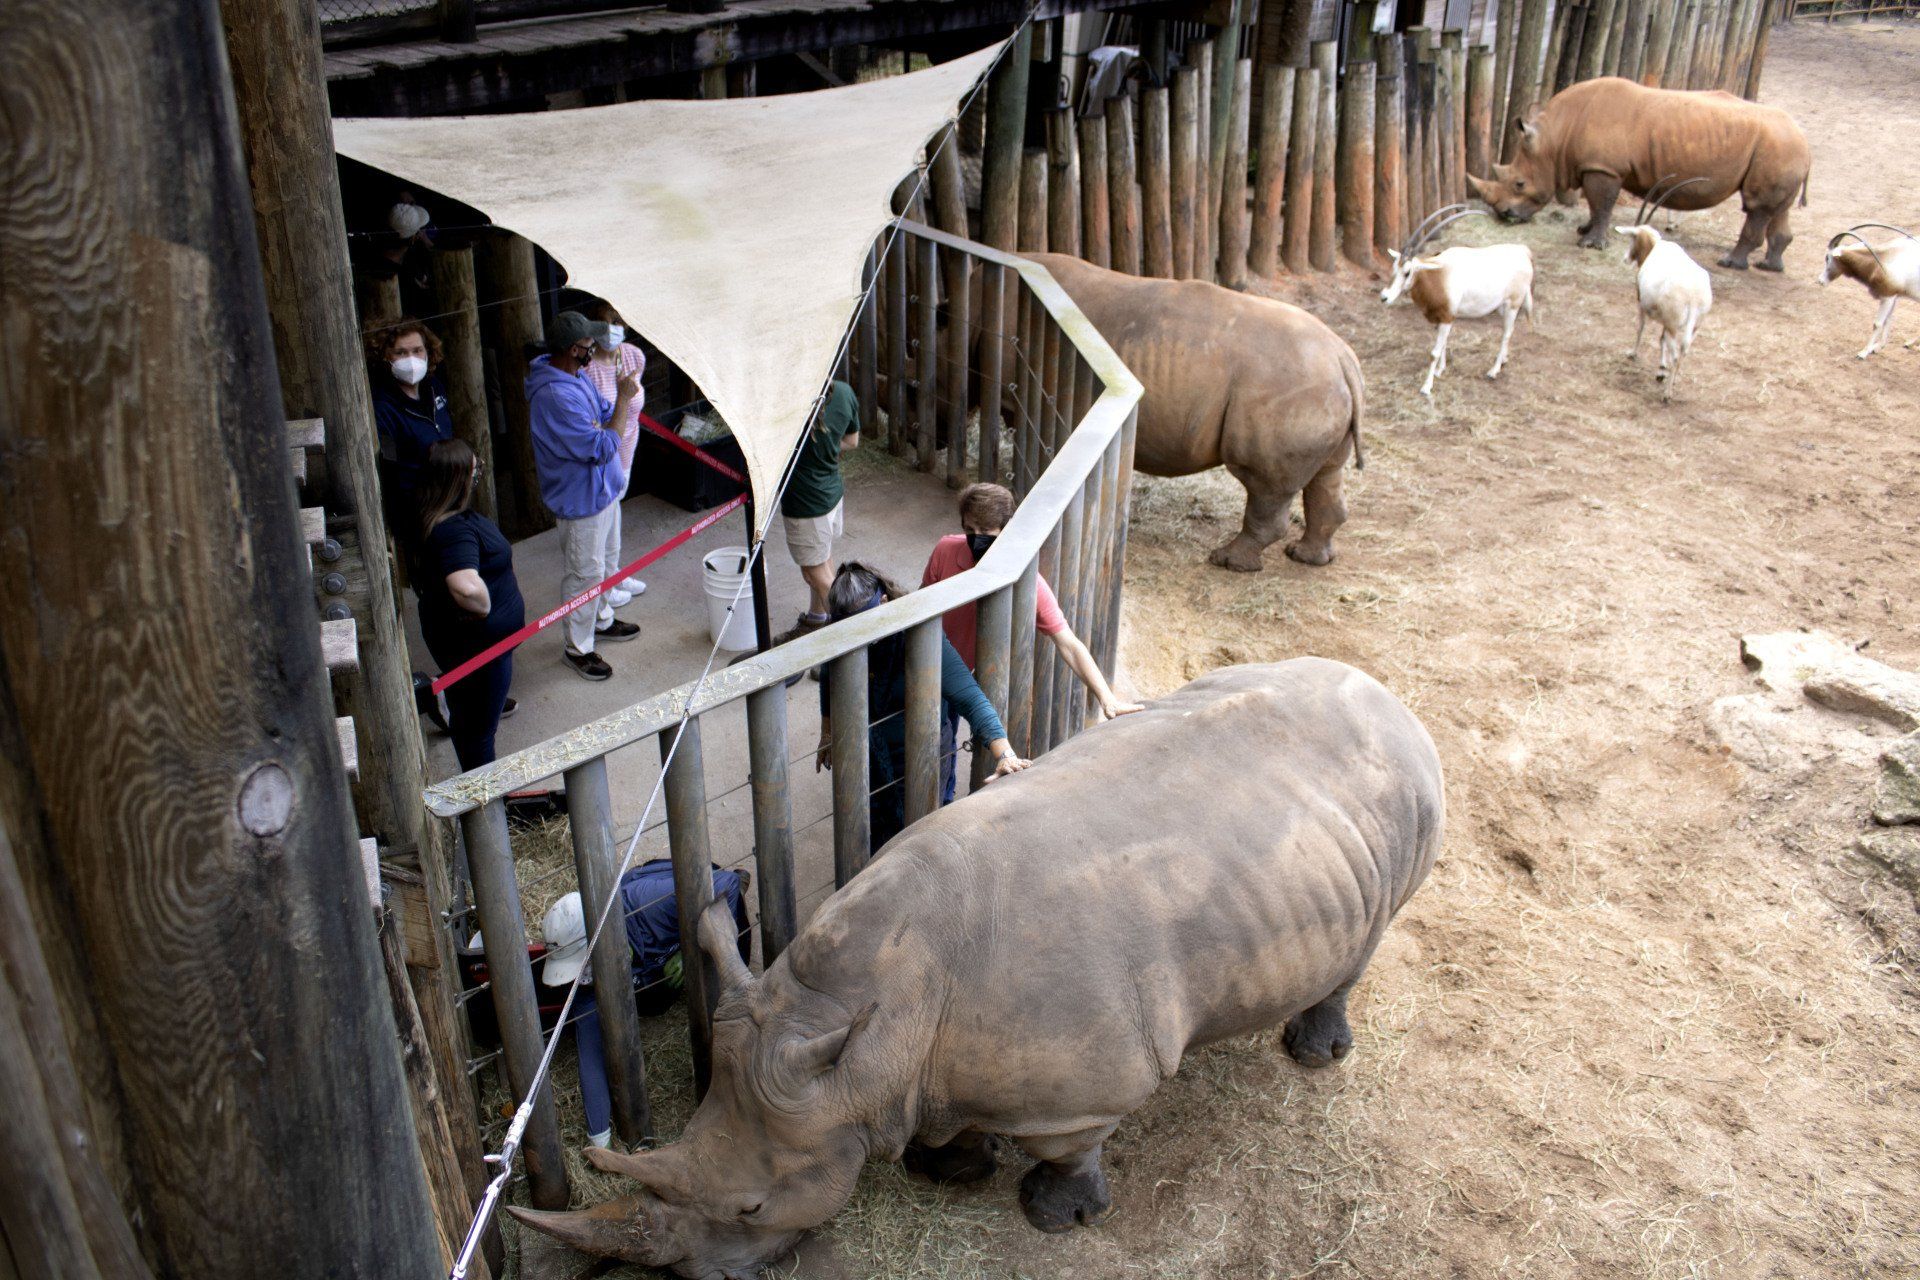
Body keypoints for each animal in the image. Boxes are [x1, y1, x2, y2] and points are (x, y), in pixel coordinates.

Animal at [510, 658, 1444, 1280]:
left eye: (751, 1209)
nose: (697, 1277)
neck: (862, 1009)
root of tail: (1391, 698)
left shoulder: (1084, 1091)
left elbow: (1069, 1147)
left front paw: (1055, 1217)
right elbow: (945, 1119)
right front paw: (948, 1168)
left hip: (1411, 799)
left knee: (1371, 931)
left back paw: (1315, 1055)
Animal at [1029, 253, 1365, 573]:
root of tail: (1343, 358)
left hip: (1289, 390)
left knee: (1266, 486)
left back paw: (1228, 562)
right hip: (1320, 390)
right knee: (1326, 474)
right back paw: (1306, 557)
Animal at [1466, 76, 1811, 271]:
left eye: (1519, 183)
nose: (1504, 215)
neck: (1555, 138)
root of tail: (1805, 142)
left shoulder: (1604, 168)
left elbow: (1602, 203)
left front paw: (1590, 244)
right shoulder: (1595, 166)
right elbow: (1595, 205)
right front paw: (1583, 230)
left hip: (1777, 147)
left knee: (1757, 207)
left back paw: (1730, 264)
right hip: (1783, 149)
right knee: (1777, 210)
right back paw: (1770, 266)